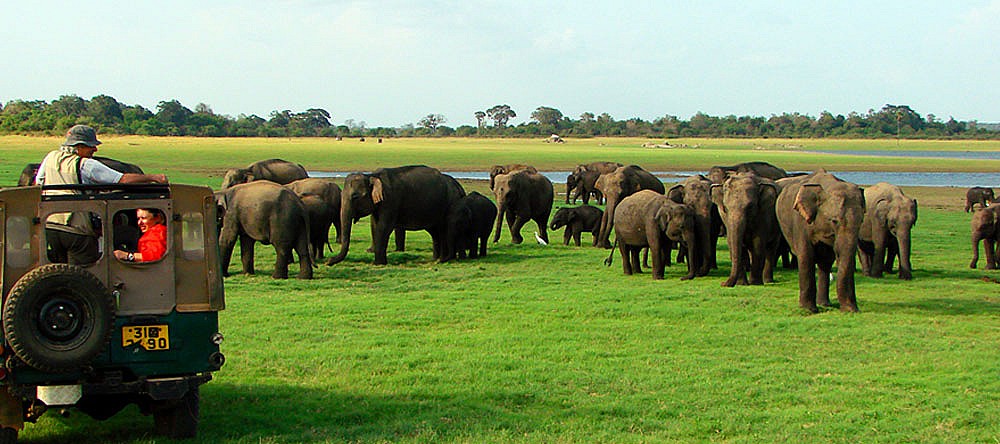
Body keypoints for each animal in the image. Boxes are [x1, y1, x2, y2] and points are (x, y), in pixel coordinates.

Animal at [330, 165, 466, 266]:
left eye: (355, 196)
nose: (329, 261)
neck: (372, 176)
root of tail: (459, 187)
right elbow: (374, 225)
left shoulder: (390, 200)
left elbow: (384, 227)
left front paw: (378, 263)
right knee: (435, 232)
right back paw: (436, 259)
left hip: (450, 204)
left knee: (443, 230)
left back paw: (444, 260)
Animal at [776, 170, 864, 312]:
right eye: (834, 221)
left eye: (861, 221)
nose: (851, 310)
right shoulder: (801, 221)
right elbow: (806, 255)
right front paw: (808, 310)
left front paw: (850, 309)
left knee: (825, 262)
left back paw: (824, 304)